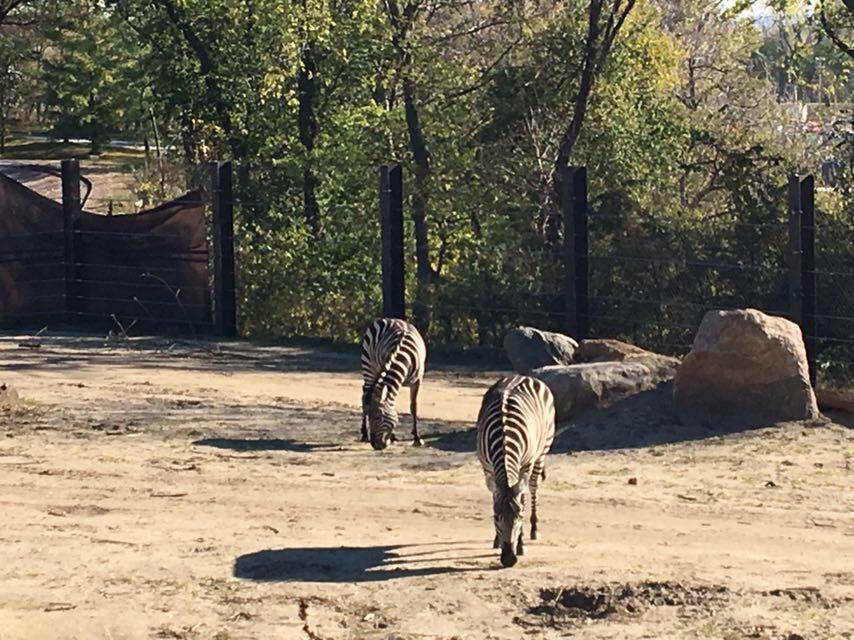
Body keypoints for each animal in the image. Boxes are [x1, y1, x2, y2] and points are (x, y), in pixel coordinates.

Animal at [362, 316, 428, 448]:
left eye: (378, 417)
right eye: (371, 417)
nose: (376, 445)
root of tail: (390, 318)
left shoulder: (417, 381)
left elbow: (414, 407)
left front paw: (416, 437)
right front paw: (391, 436)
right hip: (369, 367)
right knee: (364, 397)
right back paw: (364, 434)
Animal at [474, 372, 556, 568]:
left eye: (519, 516)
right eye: (496, 517)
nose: (509, 559)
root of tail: (522, 376)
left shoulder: (525, 465)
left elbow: (523, 500)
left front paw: (520, 543)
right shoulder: (488, 468)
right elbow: (495, 498)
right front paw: (496, 539)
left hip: (542, 450)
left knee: (532, 488)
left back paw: (534, 529)